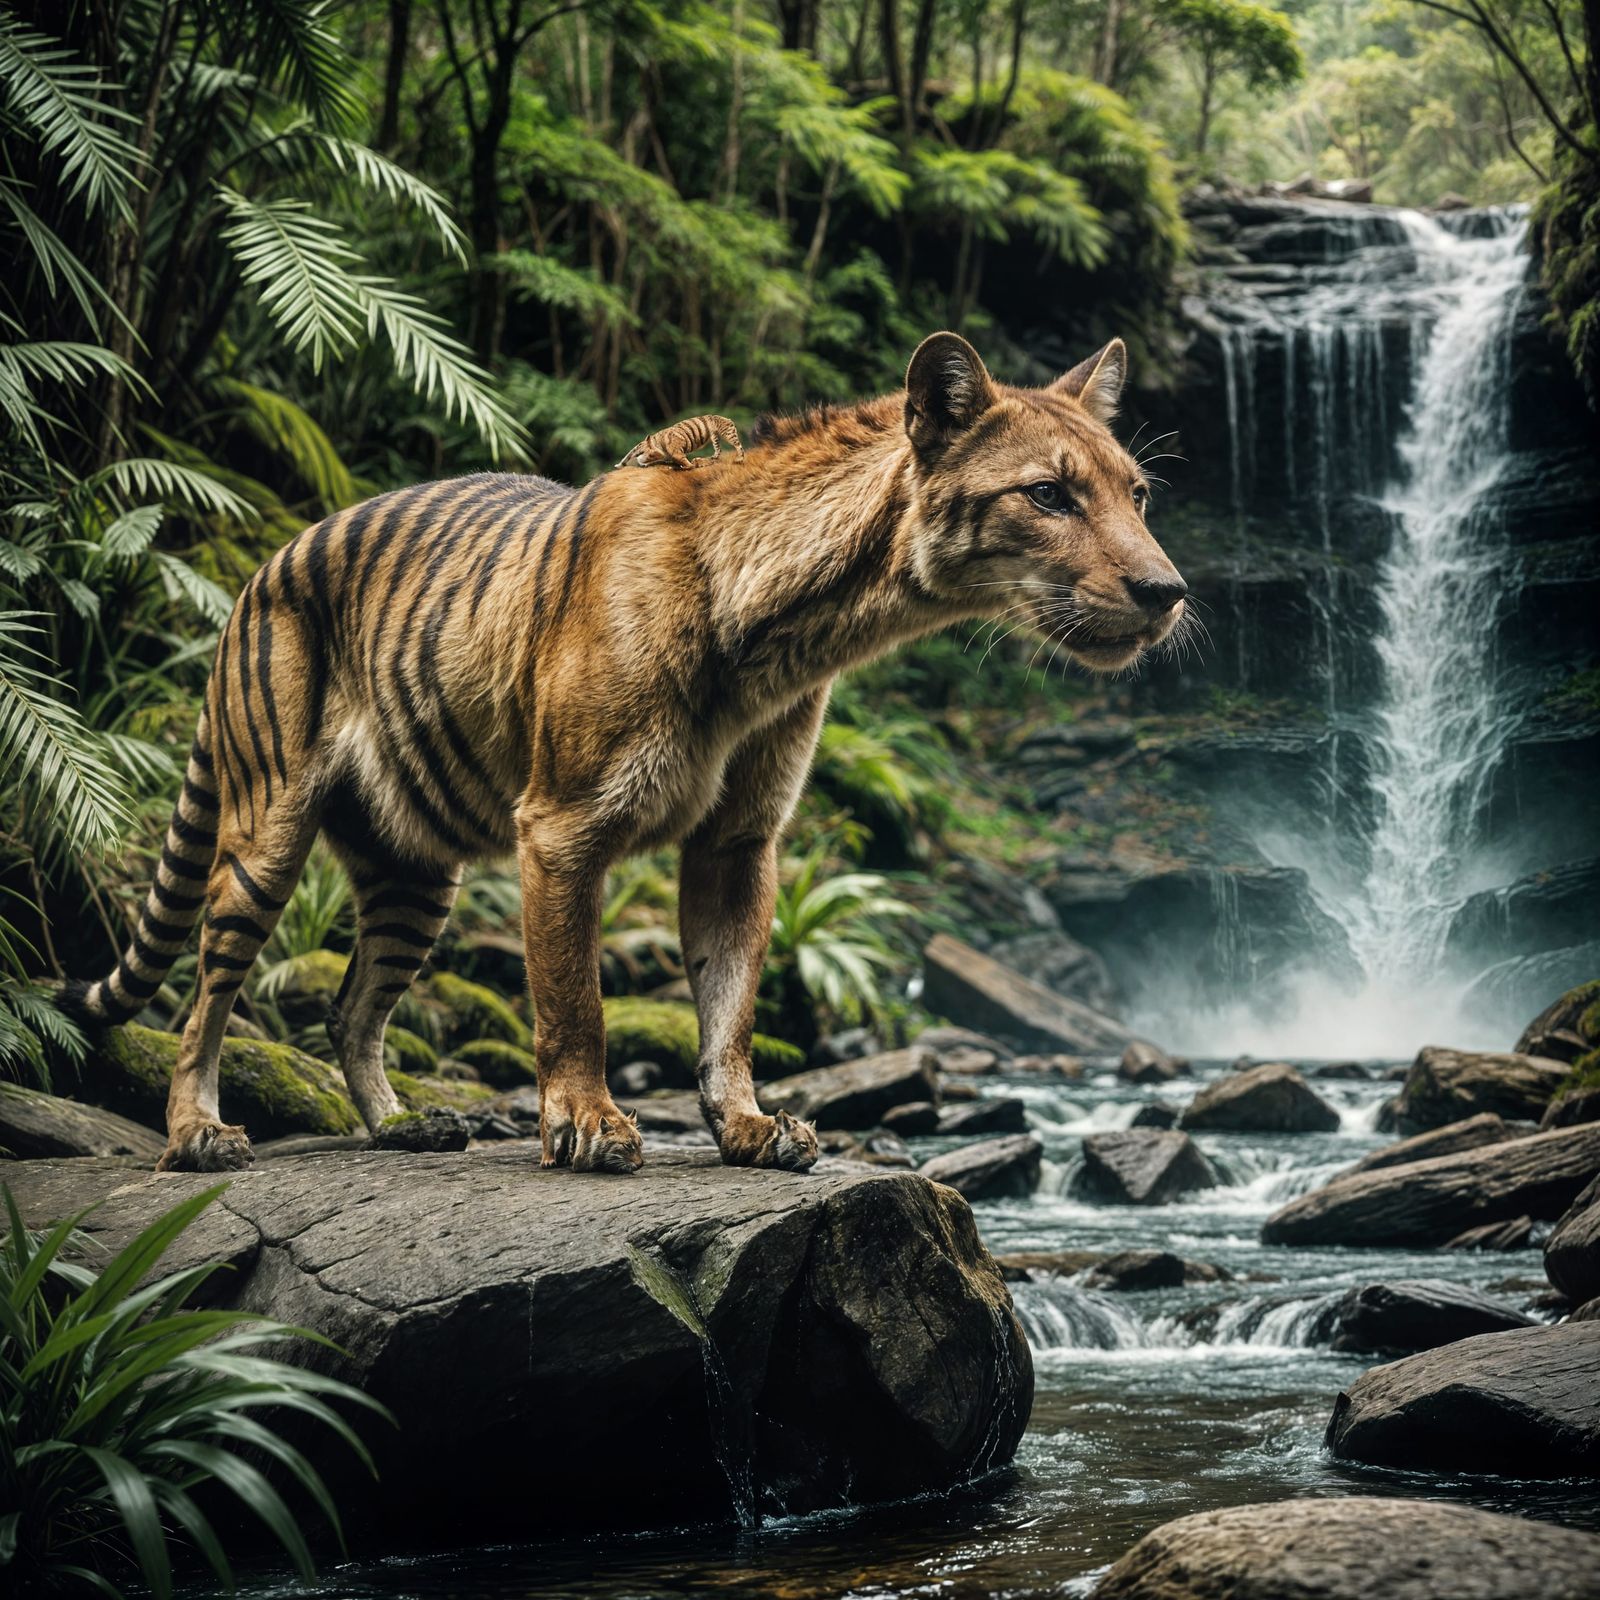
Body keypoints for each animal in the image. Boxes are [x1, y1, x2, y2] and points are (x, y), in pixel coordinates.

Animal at [63, 331, 1187, 1177]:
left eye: (1136, 494)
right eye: (1050, 494)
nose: (1167, 591)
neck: (802, 631)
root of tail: (261, 567)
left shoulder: (739, 841)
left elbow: (728, 1000)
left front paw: (749, 1126)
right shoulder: (562, 826)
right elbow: (575, 998)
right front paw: (589, 1126)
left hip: (413, 873)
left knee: (349, 1008)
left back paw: (404, 1125)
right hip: (266, 834)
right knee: (204, 996)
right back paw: (198, 1133)